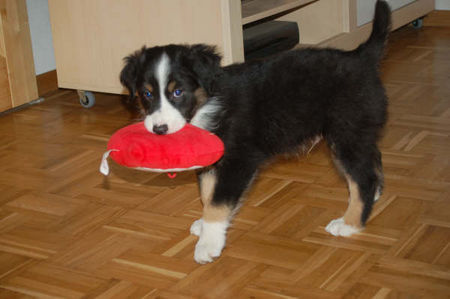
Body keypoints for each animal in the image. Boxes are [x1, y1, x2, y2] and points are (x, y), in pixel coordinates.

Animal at [119, 0, 390, 264]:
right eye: (147, 94)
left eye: (177, 92)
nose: (159, 129)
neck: (207, 105)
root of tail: (360, 57)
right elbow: (207, 192)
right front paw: (204, 224)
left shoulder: (240, 159)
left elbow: (218, 200)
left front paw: (208, 244)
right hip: (358, 130)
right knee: (373, 158)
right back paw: (375, 194)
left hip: (345, 132)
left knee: (362, 178)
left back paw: (350, 223)